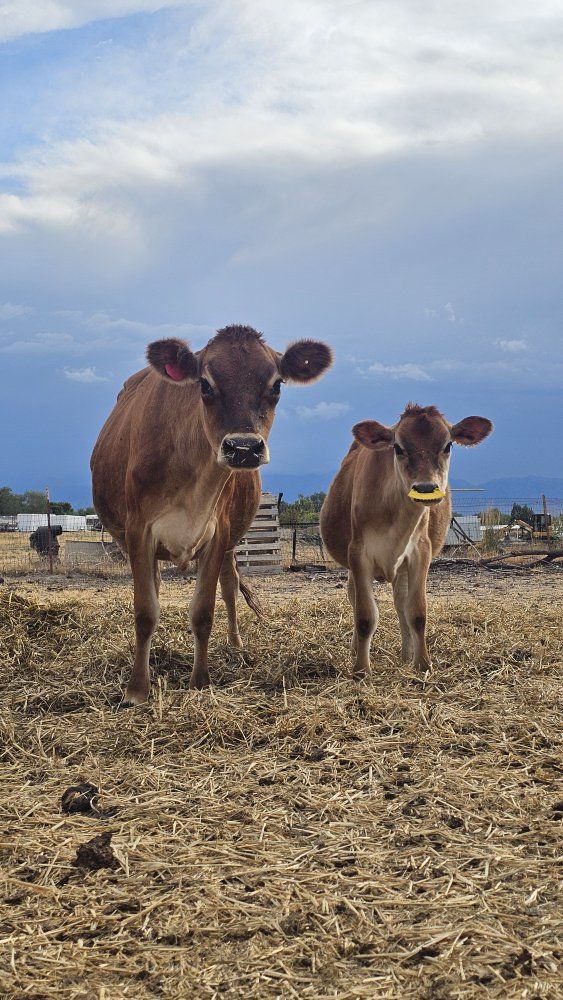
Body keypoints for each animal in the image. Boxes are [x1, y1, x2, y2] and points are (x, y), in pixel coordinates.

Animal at [91, 324, 332, 704]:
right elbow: (145, 612)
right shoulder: (138, 532)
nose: (244, 448)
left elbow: (204, 611)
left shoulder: (217, 534)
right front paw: (137, 689)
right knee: (157, 589)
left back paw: (236, 648)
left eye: (276, 385)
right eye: (204, 384)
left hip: (234, 541)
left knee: (230, 587)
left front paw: (200, 681)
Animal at [320, 404, 492, 678]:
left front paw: (422, 664)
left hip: (401, 568)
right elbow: (365, 615)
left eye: (448, 445)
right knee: (354, 597)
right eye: (398, 447)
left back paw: (405, 654)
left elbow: (417, 612)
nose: (425, 488)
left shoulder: (420, 552)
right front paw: (361, 669)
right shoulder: (358, 554)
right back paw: (356, 648)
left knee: (401, 604)